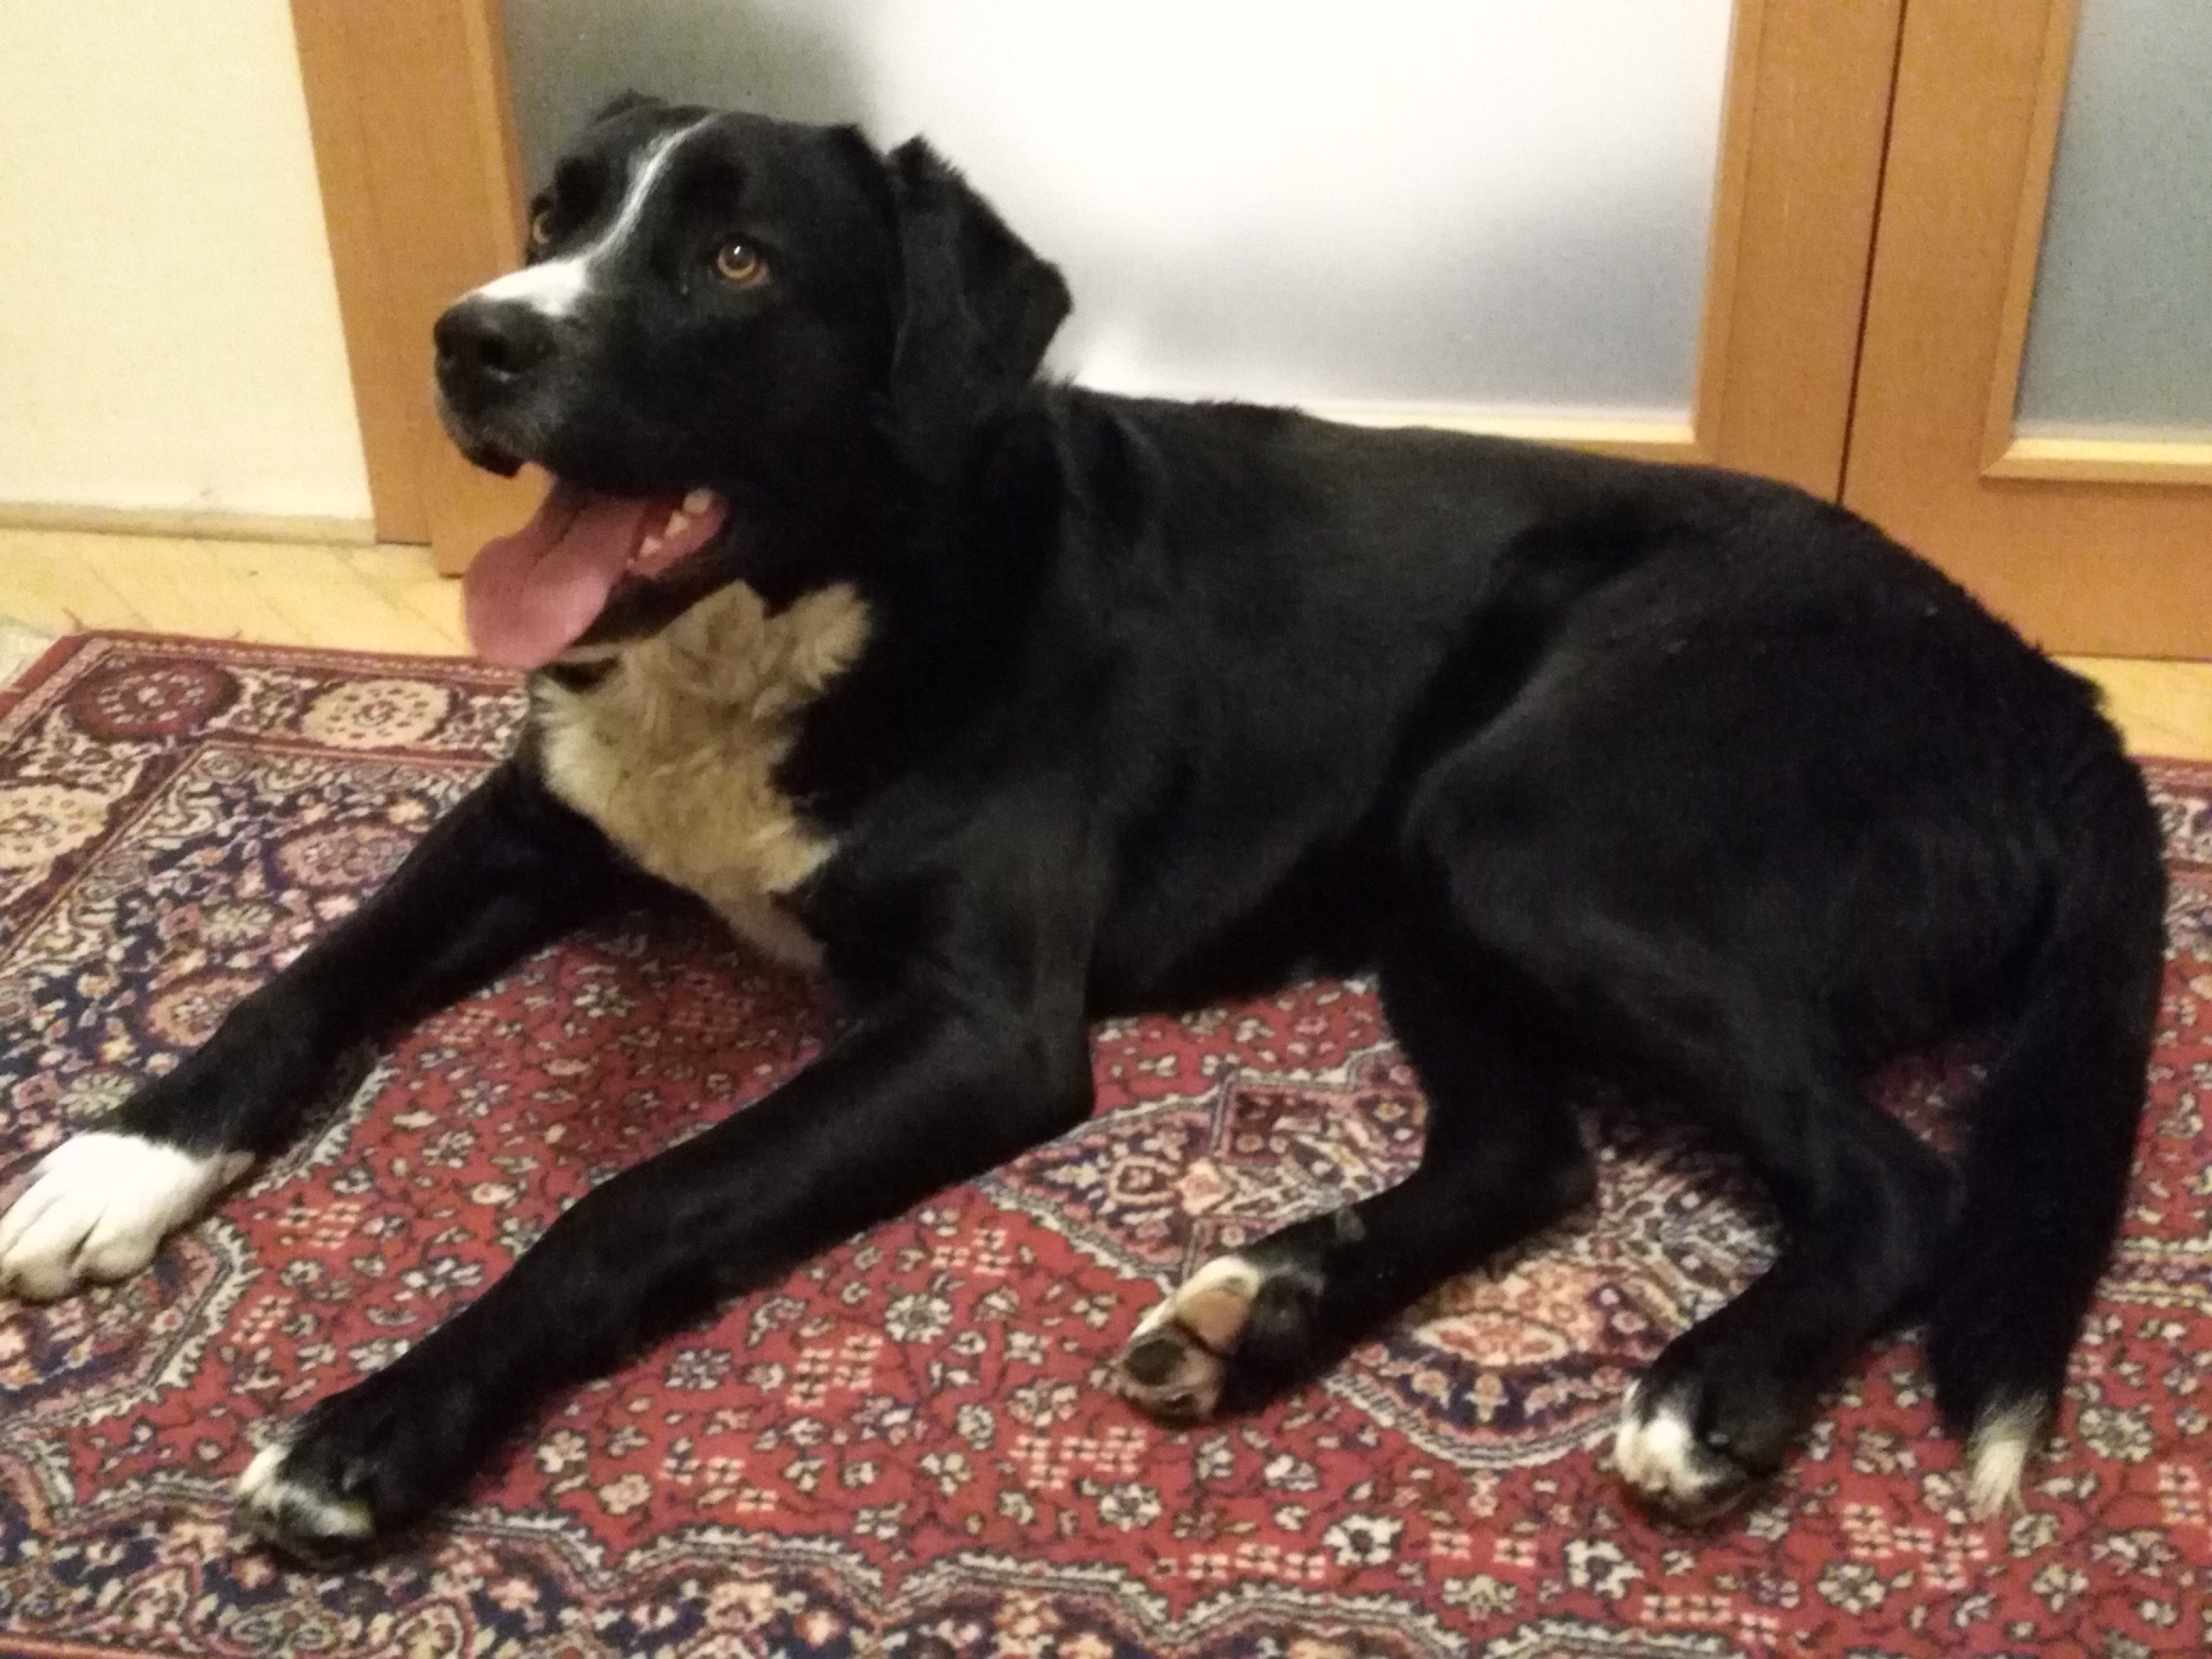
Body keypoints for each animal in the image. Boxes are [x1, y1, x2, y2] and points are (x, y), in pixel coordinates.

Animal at [0, 99, 2165, 1557]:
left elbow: (635, 1198)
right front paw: (116, 1156)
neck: (800, 613)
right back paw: (1260, 1310)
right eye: (556, 212)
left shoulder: (977, 1027)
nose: (472, 337)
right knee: (1533, 1155)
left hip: (1542, 835)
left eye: (736, 261)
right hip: (1442, 876)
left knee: (1893, 1178)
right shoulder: (534, 817)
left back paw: (1712, 1389)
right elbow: (304, 975)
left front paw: (381, 1424)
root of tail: (2047, 691)